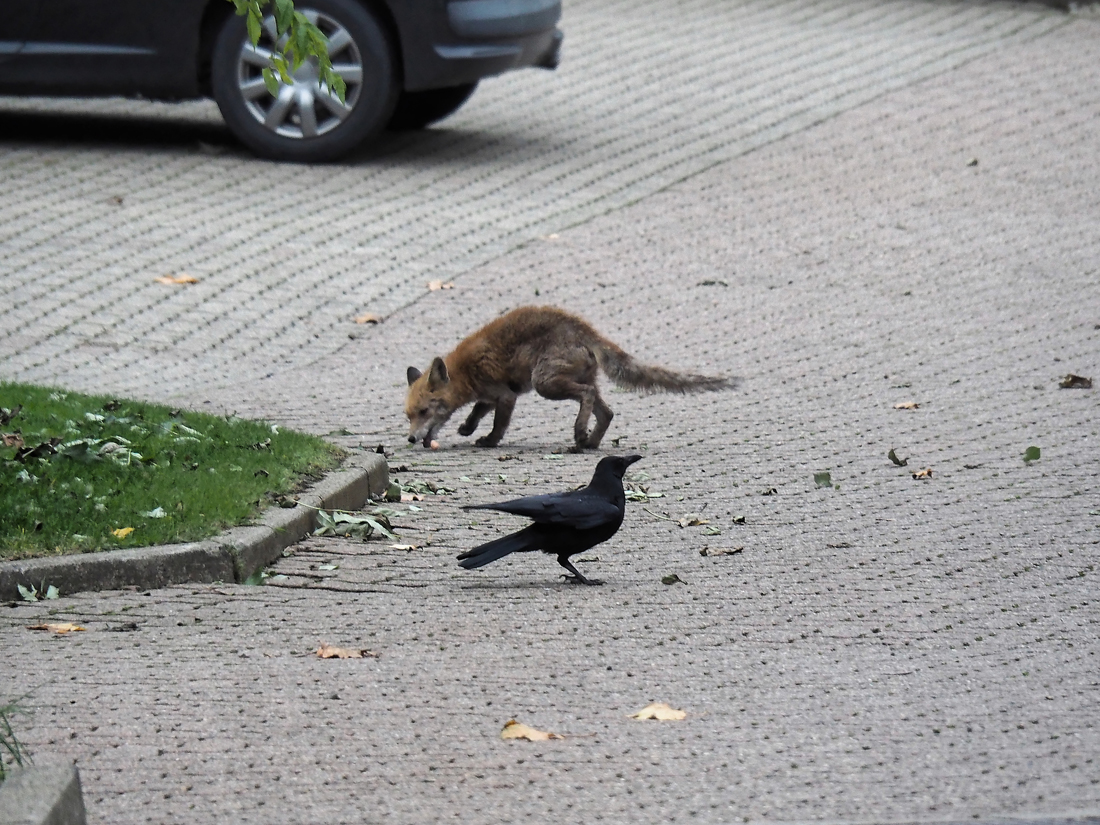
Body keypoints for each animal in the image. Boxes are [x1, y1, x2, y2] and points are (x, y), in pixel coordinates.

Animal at [405, 306, 737, 452]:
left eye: (424, 411)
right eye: (408, 415)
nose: (410, 438)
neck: (465, 371)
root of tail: (584, 328)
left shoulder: (505, 394)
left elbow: (498, 423)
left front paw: (489, 440)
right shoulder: (490, 394)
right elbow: (476, 412)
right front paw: (467, 428)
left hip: (544, 383)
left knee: (587, 396)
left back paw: (579, 434)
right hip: (574, 381)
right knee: (607, 411)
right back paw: (590, 442)